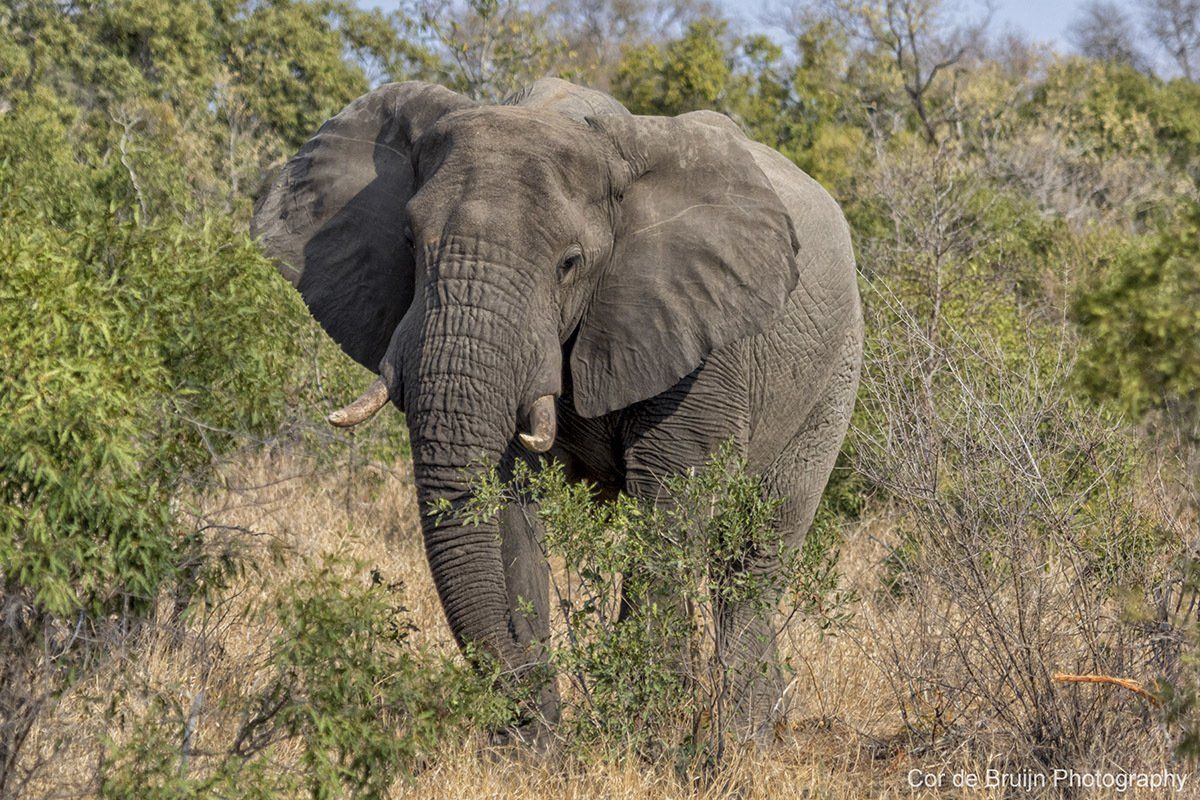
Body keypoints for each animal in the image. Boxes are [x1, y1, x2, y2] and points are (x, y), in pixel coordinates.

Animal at [251, 77, 862, 742]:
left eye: (569, 263)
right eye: (409, 243)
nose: (520, 718)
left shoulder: (704, 339)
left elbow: (669, 502)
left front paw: (650, 741)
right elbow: (511, 511)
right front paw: (533, 748)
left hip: (834, 374)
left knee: (754, 556)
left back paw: (744, 738)